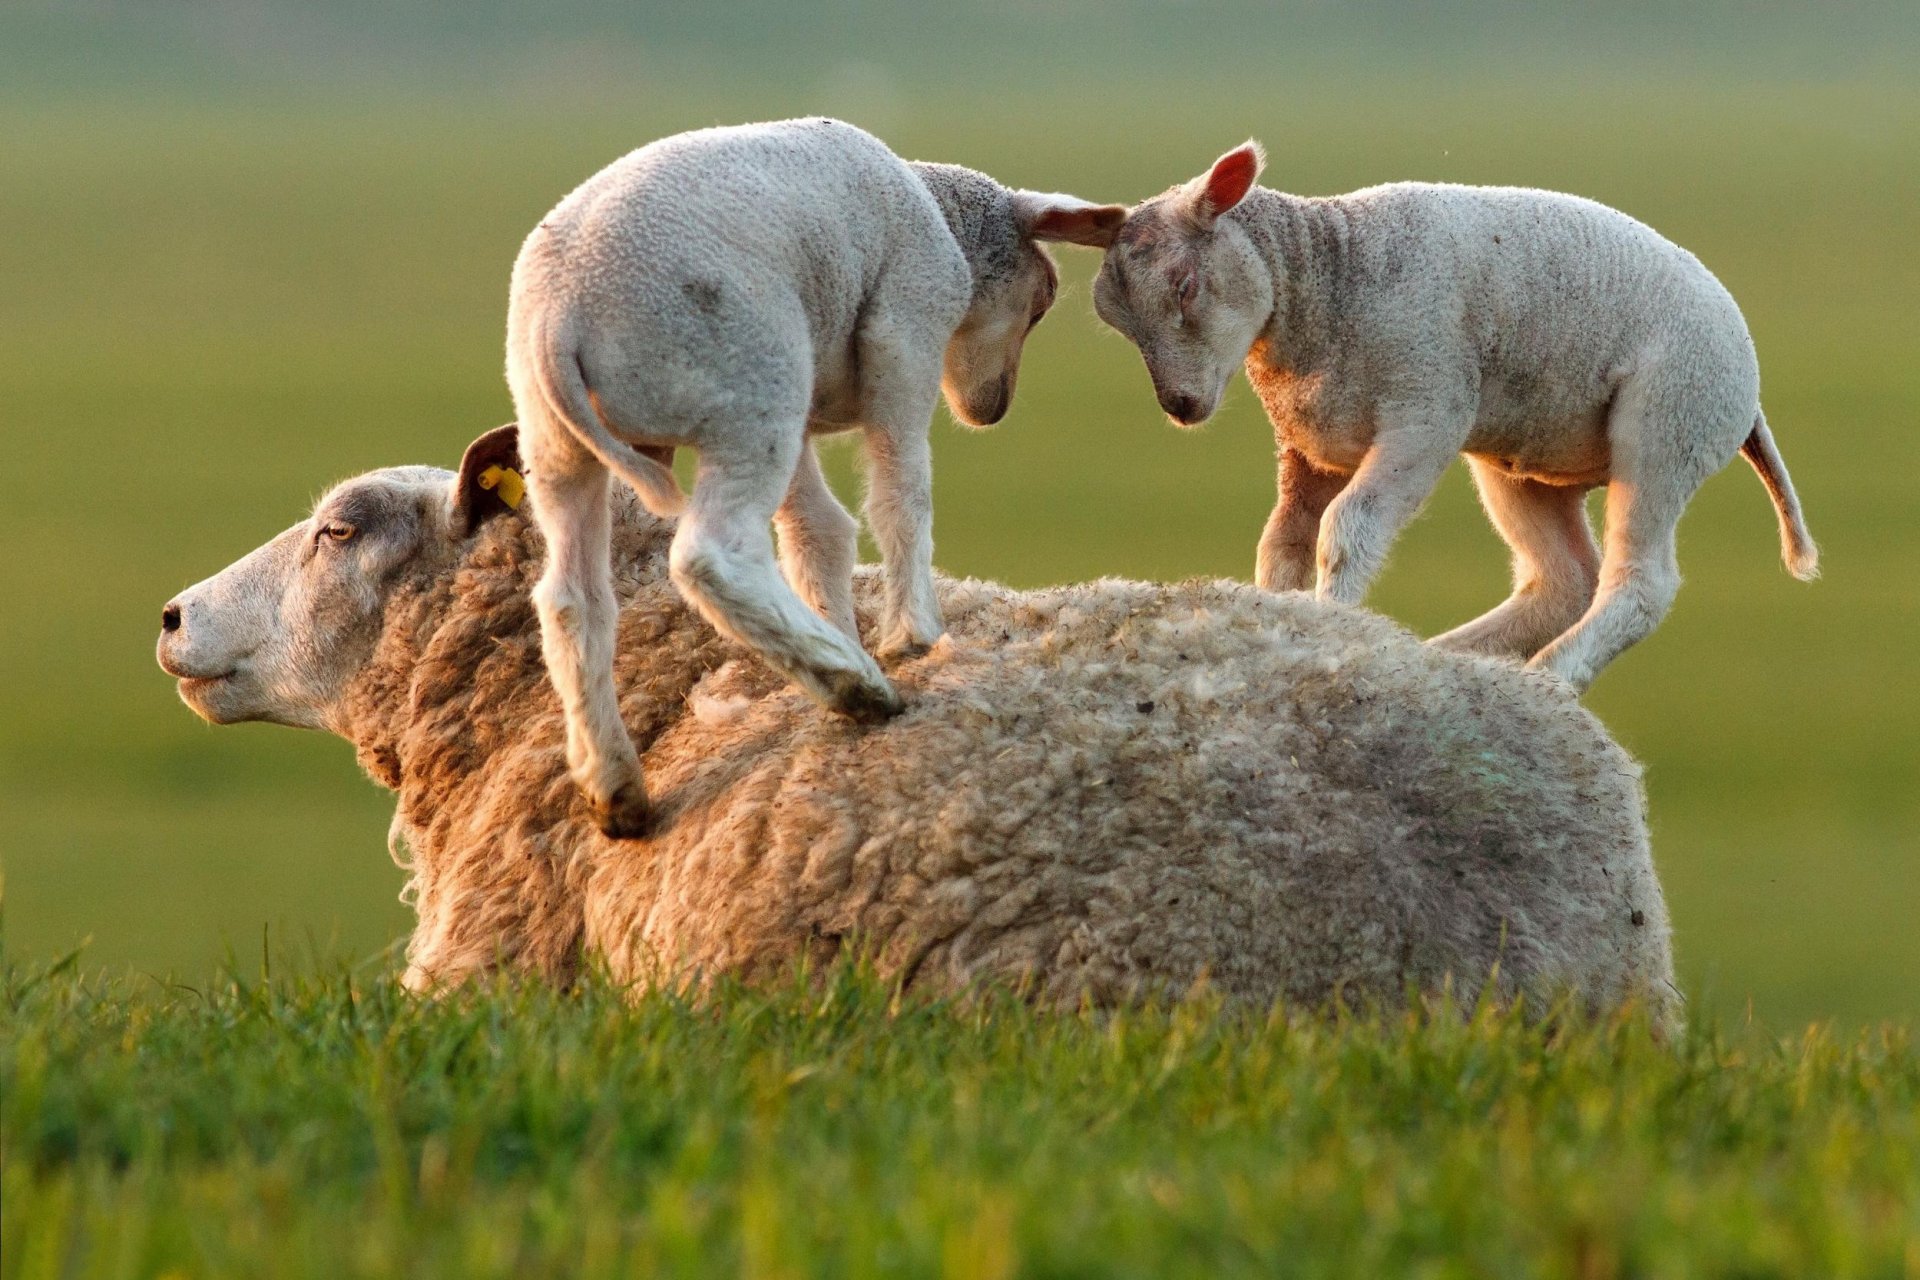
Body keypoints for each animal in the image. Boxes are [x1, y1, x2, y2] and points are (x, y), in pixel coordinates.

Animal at [506, 116, 1125, 838]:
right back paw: (854, 685)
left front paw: (838, 624)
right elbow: (902, 491)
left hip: (557, 444)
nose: (989, 410)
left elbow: (816, 531)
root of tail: (559, 324)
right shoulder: (905, 325)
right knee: (710, 556)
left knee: (571, 599)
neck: (943, 214)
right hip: (749, 383)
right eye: (1043, 301)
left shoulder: (807, 415)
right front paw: (914, 634)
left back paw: (616, 783)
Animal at [1049, 143, 1818, 691]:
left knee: (1639, 583)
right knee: (1563, 580)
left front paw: (1336, 626)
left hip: (1670, 419)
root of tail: (1750, 391)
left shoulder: (1425, 414)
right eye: (1115, 321)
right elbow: (1282, 546)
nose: (1181, 408)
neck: (1329, 281)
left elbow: (1346, 531)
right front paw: (1287, 626)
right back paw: (1453, 659)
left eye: (1184, 287)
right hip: (1526, 461)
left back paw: (1552, 678)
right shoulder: (1309, 447)